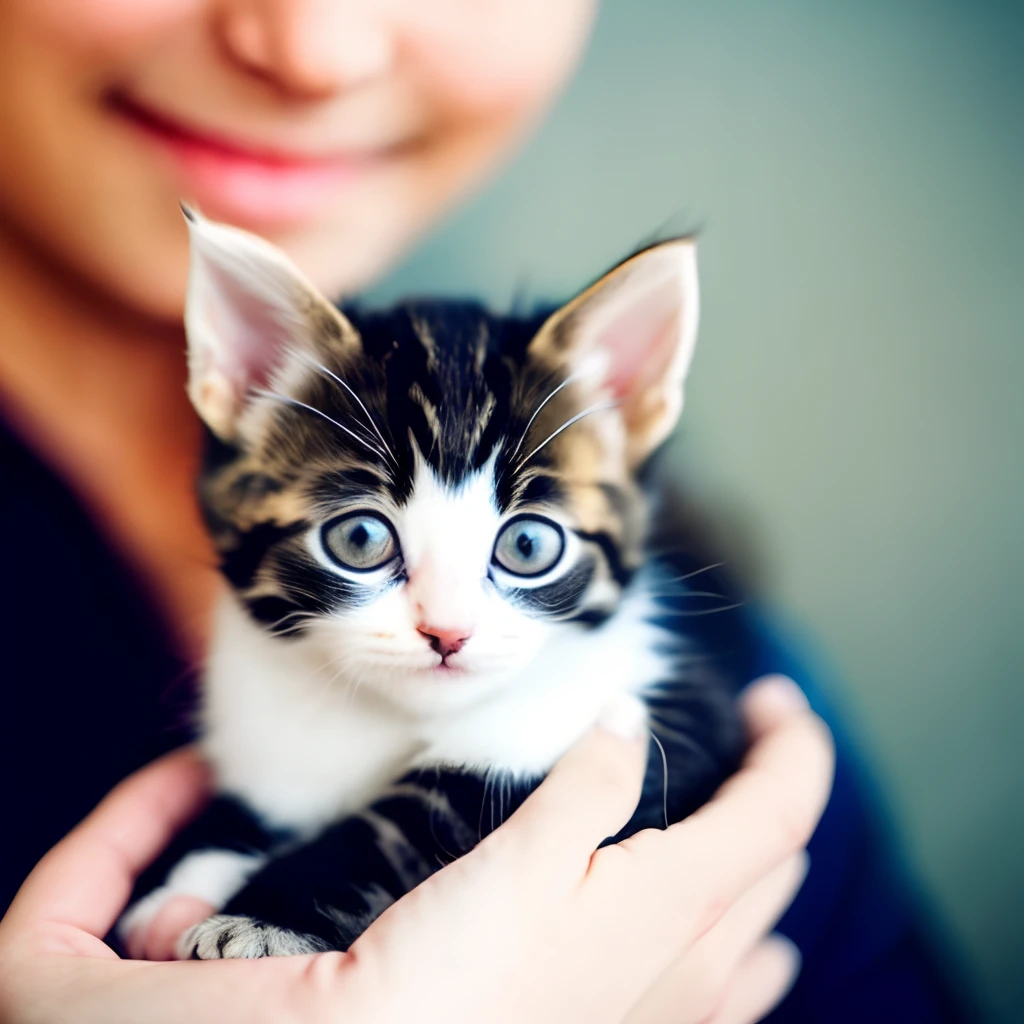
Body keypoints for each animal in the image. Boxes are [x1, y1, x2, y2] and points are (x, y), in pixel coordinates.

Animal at [121, 207, 753, 958]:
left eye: (528, 545)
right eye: (360, 540)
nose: (447, 632)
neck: (387, 717)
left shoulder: (662, 714)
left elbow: (420, 821)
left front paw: (264, 917)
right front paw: (186, 869)